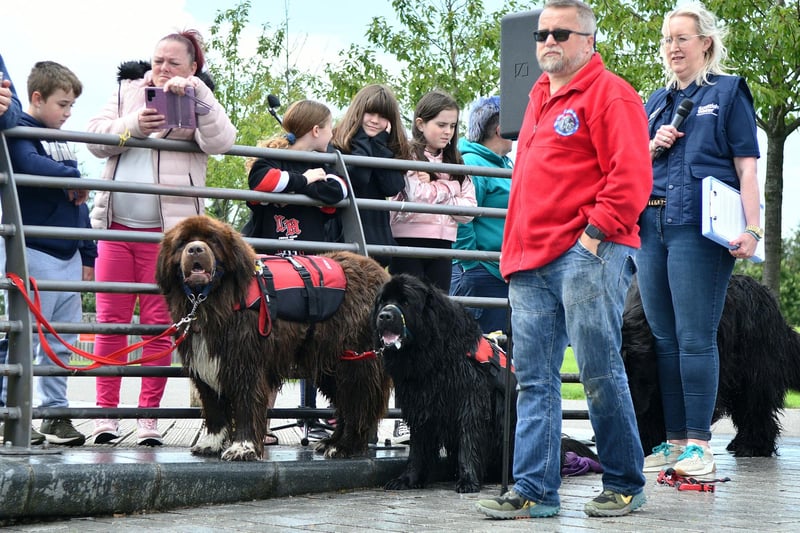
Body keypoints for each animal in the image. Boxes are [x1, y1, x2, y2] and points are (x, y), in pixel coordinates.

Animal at [155, 214, 392, 460]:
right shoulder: (207, 364)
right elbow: (213, 406)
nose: (195, 249)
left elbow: (246, 403)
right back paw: (332, 441)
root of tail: (381, 273)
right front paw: (211, 443)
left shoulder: (245, 362)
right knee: (347, 403)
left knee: (358, 402)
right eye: (182, 243)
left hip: (356, 359)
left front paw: (243, 447)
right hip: (333, 363)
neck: (214, 300)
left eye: (212, 240)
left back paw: (346, 446)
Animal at [372, 272, 596, 492]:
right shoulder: (420, 404)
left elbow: (468, 439)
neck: (434, 352)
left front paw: (468, 480)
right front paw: (407, 479)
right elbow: (418, 448)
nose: (384, 315)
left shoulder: (470, 399)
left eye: (405, 301)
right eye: (383, 301)